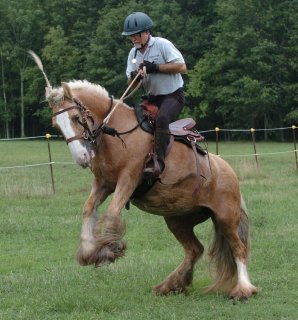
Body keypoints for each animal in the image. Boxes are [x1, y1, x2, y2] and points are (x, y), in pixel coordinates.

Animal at [30, 50, 258, 300]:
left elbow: (112, 212)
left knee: (239, 248)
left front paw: (110, 249)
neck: (115, 132)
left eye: (75, 118)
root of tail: (229, 171)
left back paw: (243, 289)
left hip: (225, 217)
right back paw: (171, 284)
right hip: (178, 219)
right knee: (194, 250)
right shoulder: (104, 183)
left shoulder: (129, 178)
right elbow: (89, 209)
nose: (82, 157)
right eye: (56, 125)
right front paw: (89, 251)